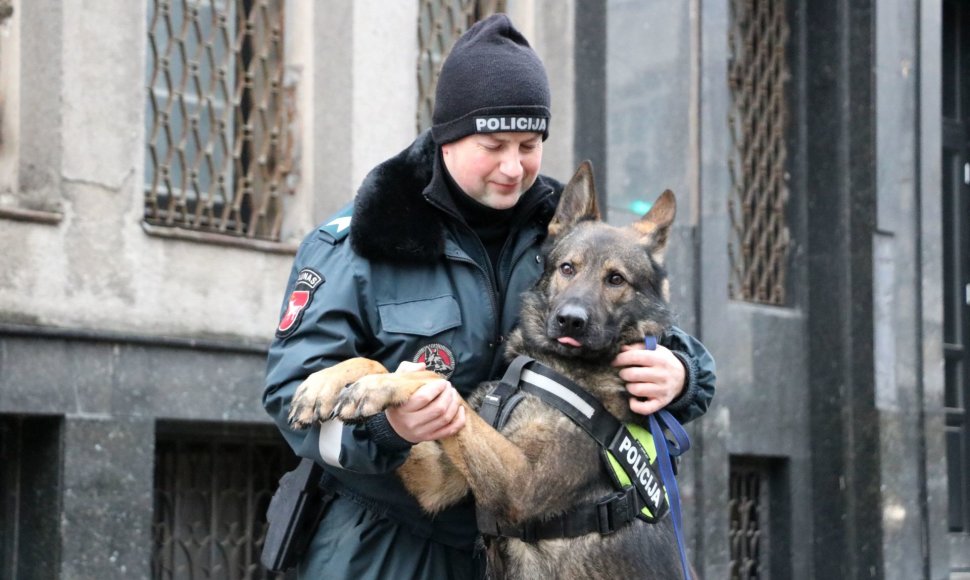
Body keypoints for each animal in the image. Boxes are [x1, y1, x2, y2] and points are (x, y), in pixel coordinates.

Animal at [286, 161, 680, 576]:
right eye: (567, 268)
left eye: (616, 279)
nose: (570, 321)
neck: (552, 365)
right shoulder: (438, 482)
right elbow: (380, 362)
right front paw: (326, 383)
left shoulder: (519, 483)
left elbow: (439, 383)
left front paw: (375, 388)